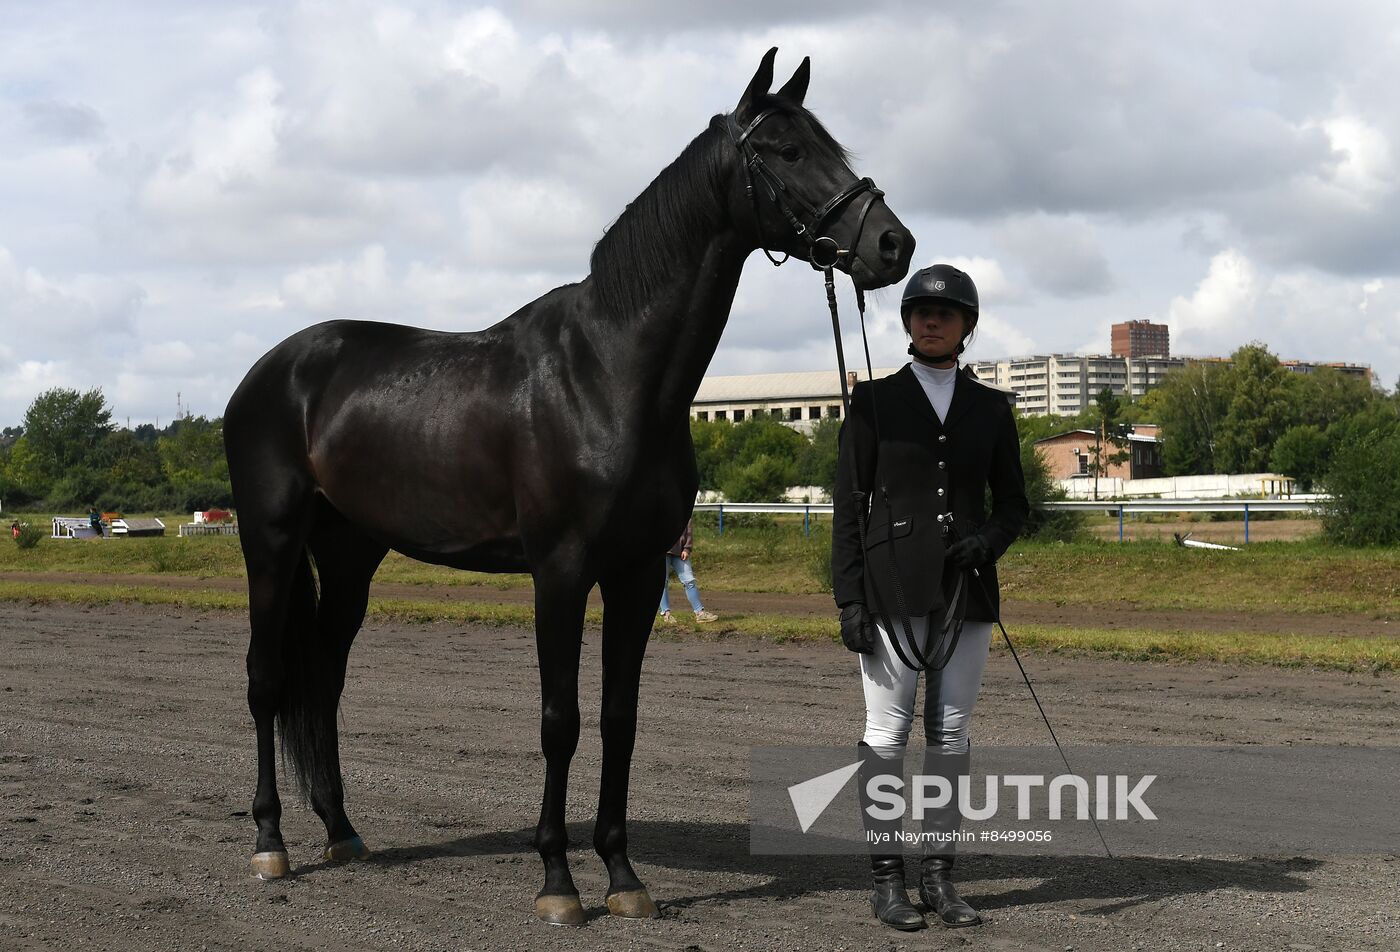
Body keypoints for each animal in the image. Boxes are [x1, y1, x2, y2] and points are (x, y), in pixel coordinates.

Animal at [224, 48, 912, 924]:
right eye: (787, 151)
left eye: (833, 146)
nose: (893, 244)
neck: (610, 374)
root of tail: (274, 370)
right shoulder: (559, 572)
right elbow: (561, 720)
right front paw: (557, 879)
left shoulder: (636, 573)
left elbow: (619, 718)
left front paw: (621, 875)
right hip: (272, 542)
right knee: (267, 680)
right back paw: (269, 842)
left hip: (350, 555)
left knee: (327, 684)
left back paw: (342, 832)